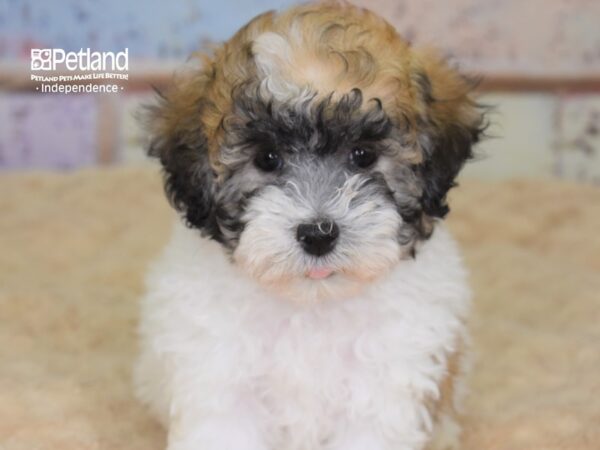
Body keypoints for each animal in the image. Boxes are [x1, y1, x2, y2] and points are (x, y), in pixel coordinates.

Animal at [134, 1, 486, 448]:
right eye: (267, 158)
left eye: (363, 155)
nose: (318, 235)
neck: (312, 306)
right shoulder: (220, 379)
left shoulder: (384, 389)